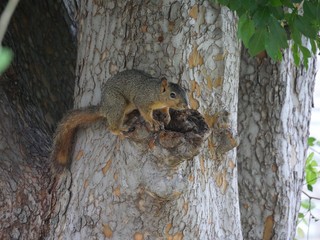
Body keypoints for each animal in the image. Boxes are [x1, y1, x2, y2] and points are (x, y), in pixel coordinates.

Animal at [51, 68, 189, 168]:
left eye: (185, 92)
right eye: (172, 95)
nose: (186, 105)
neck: (156, 92)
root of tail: (104, 107)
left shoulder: (162, 105)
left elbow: (166, 109)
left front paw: (167, 116)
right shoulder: (142, 100)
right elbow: (145, 113)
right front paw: (153, 122)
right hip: (118, 104)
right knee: (111, 127)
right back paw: (120, 130)